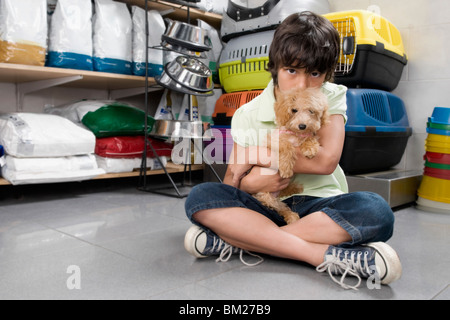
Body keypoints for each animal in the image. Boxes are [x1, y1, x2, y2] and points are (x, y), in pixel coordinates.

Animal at [253, 86, 330, 224]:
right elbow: (287, 146)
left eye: (311, 111)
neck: (296, 134)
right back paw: (292, 217)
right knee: (280, 208)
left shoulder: (307, 134)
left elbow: (310, 137)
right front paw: (286, 168)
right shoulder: (273, 141)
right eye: (294, 110)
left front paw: (310, 148)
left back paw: (295, 191)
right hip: (266, 197)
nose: (302, 126)